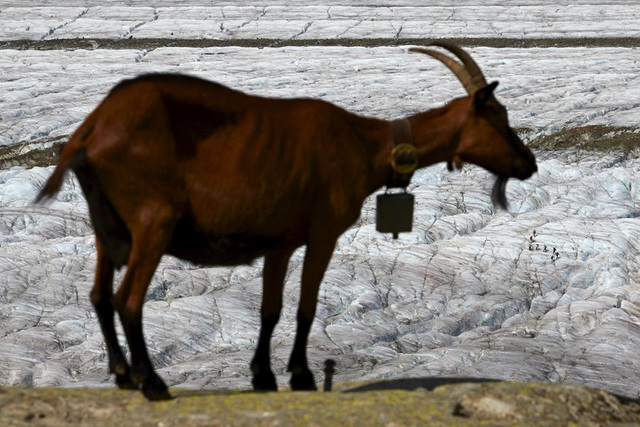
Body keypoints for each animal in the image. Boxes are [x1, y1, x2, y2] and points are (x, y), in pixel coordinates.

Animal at [35, 41, 536, 400]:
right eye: (499, 115)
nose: (528, 164)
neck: (364, 143)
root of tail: (92, 128)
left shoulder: (278, 241)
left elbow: (270, 309)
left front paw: (263, 377)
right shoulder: (323, 233)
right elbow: (305, 308)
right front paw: (301, 376)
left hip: (107, 225)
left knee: (99, 295)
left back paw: (122, 374)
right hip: (151, 220)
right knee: (128, 299)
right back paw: (153, 384)